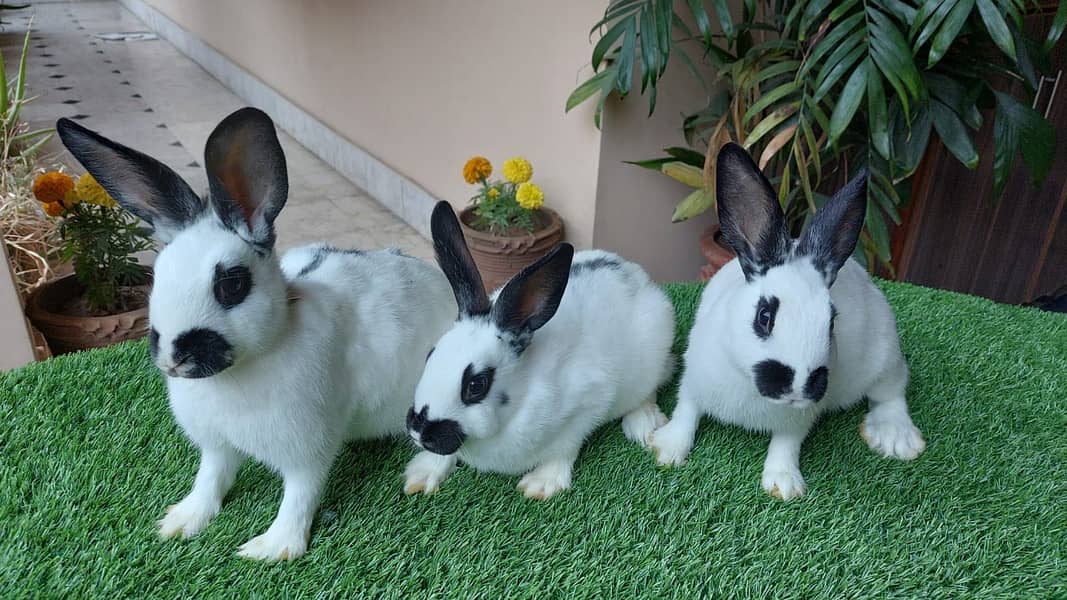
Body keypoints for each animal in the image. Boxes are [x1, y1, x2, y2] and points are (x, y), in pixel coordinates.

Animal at [56, 108, 456, 561]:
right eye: (157, 275)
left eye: (231, 285)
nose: (173, 358)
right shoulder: (215, 445)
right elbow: (210, 478)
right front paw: (181, 521)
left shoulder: (307, 447)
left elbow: (300, 494)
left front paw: (272, 548)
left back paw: (421, 476)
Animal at [402, 201, 676, 500]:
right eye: (430, 355)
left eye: (476, 385)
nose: (419, 433)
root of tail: (633, 271)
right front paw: (422, 474)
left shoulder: (588, 403)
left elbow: (566, 447)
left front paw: (541, 484)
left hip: (653, 357)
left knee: (653, 386)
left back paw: (644, 424)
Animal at [649, 143, 925, 501]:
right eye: (764, 316)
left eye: (832, 322)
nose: (799, 385)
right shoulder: (693, 380)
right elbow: (686, 412)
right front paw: (666, 448)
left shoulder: (800, 418)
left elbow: (786, 444)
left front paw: (784, 484)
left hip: (886, 354)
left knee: (891, 392)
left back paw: (895, 438)